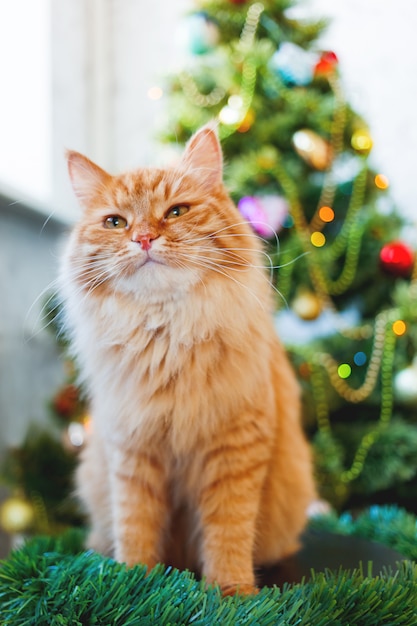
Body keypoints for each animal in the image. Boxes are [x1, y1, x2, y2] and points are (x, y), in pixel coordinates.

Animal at [60, 123, 316, 596]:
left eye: (176, 212)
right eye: (115, 222)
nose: (143, 238)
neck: (167, 336)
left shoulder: (235, 449)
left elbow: (228, 533)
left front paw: (231, 593)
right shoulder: (133, 451)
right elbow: (136, 527)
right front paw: (131, 583)